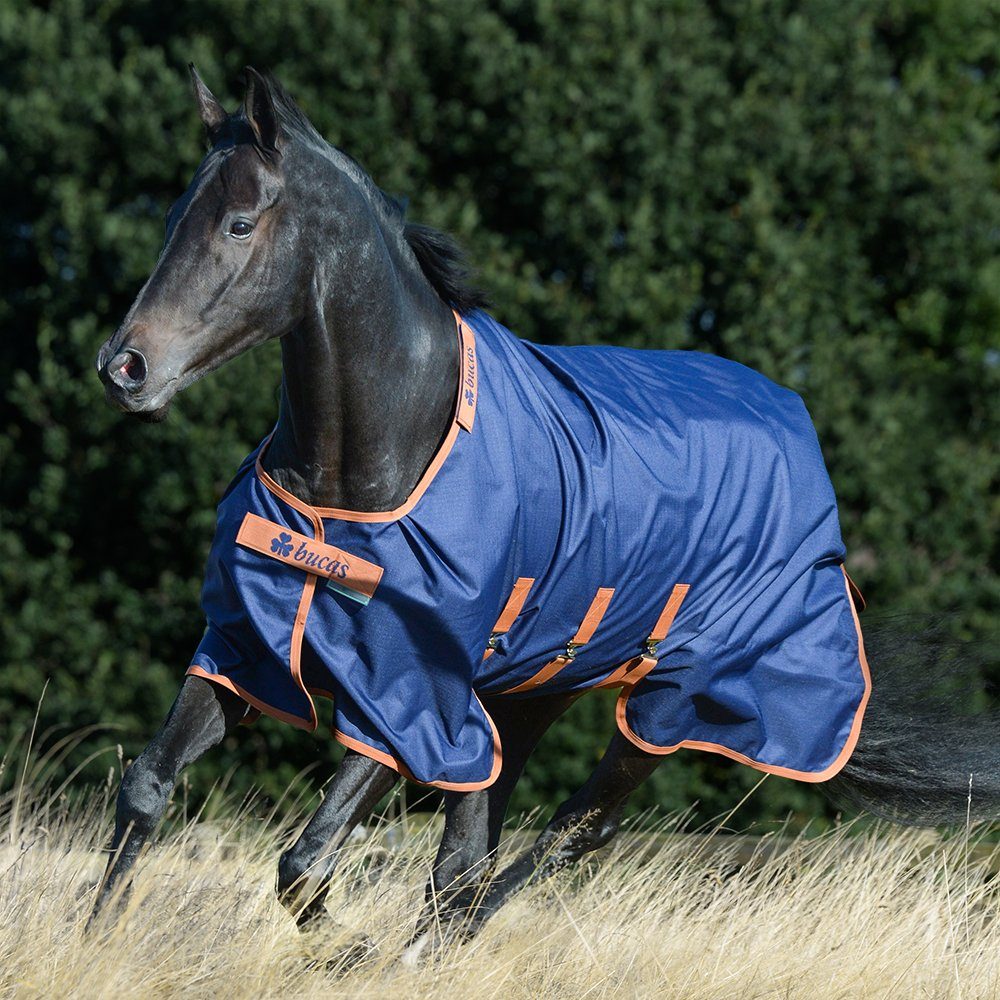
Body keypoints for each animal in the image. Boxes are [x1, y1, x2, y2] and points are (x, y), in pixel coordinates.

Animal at [91, 66, 1000, 965]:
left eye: (240, 222)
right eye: (172, 217)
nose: (124, 367)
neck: (359, 481)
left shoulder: (413, 694)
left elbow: (304, 862)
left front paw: (353, 948)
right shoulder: (245, 650)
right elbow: (149, 788)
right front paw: (100, 934)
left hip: (675, 699)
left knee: (573, 833)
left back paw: (438, 945)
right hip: (530, 693)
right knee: (473, 854)